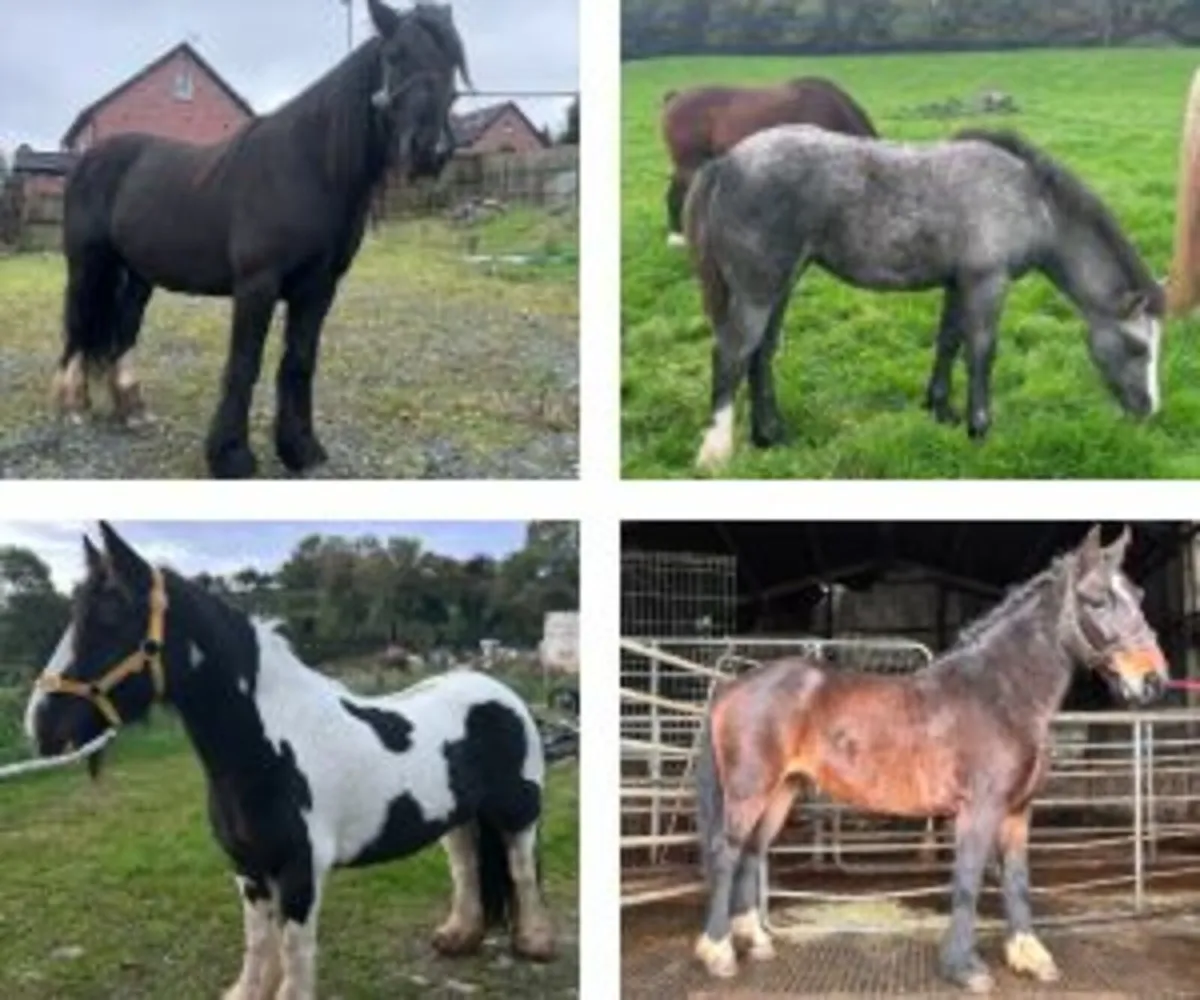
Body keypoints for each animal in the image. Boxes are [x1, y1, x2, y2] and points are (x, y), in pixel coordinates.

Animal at [24, 522, 556, 1000]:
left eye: (111, 615)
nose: (39, 725)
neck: (269, 752)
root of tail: (502, 694)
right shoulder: (249, 871)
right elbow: (260, 944)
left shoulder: (301, 871)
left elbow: (294, 950)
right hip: (458, 818)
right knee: (467, 866)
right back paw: (458, 937)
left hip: (518, 813)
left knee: (521, 869)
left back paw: (535, 943)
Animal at [52, 0, 472, 480]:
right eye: (395, 55)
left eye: (452, 64)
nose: (431, 150)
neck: (309, 169)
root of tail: (88, 159)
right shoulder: (257, 284)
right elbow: (244, 363)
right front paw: (231, 456)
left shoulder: (319, 287)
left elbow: (299, 362)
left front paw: (301, 449)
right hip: (88, 264)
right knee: (78, 322)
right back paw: (73, 406)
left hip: (138, 275)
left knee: (122, 330)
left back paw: (132, 411)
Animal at [684, 125, 1166, 472]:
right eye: (1138, 347)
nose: (1148, 411)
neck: (1030, 199)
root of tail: (726, 162)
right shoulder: (987, 282)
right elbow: (981, 352)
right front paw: (979, 428)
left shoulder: (959, 283)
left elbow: (948, 342)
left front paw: (940, 410)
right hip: (759, 287)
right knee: (732, 352)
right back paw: (716, 452)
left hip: (782, 282)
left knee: (761, 352)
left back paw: (771, 436)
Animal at [691, 525, 1167, 993]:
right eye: (1097, 600)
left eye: (1140, 594)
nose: (1154, 681)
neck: (1000, 695)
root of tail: (732, 687)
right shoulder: (979, 810)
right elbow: (968, 881)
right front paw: (964, 967)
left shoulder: (1018, 811)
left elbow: (1016, 880)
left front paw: (1029, 957)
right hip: (749, 791)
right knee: (726, 852)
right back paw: (718, 952)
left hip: (781, 792)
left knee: (752, 851)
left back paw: (755, 941)